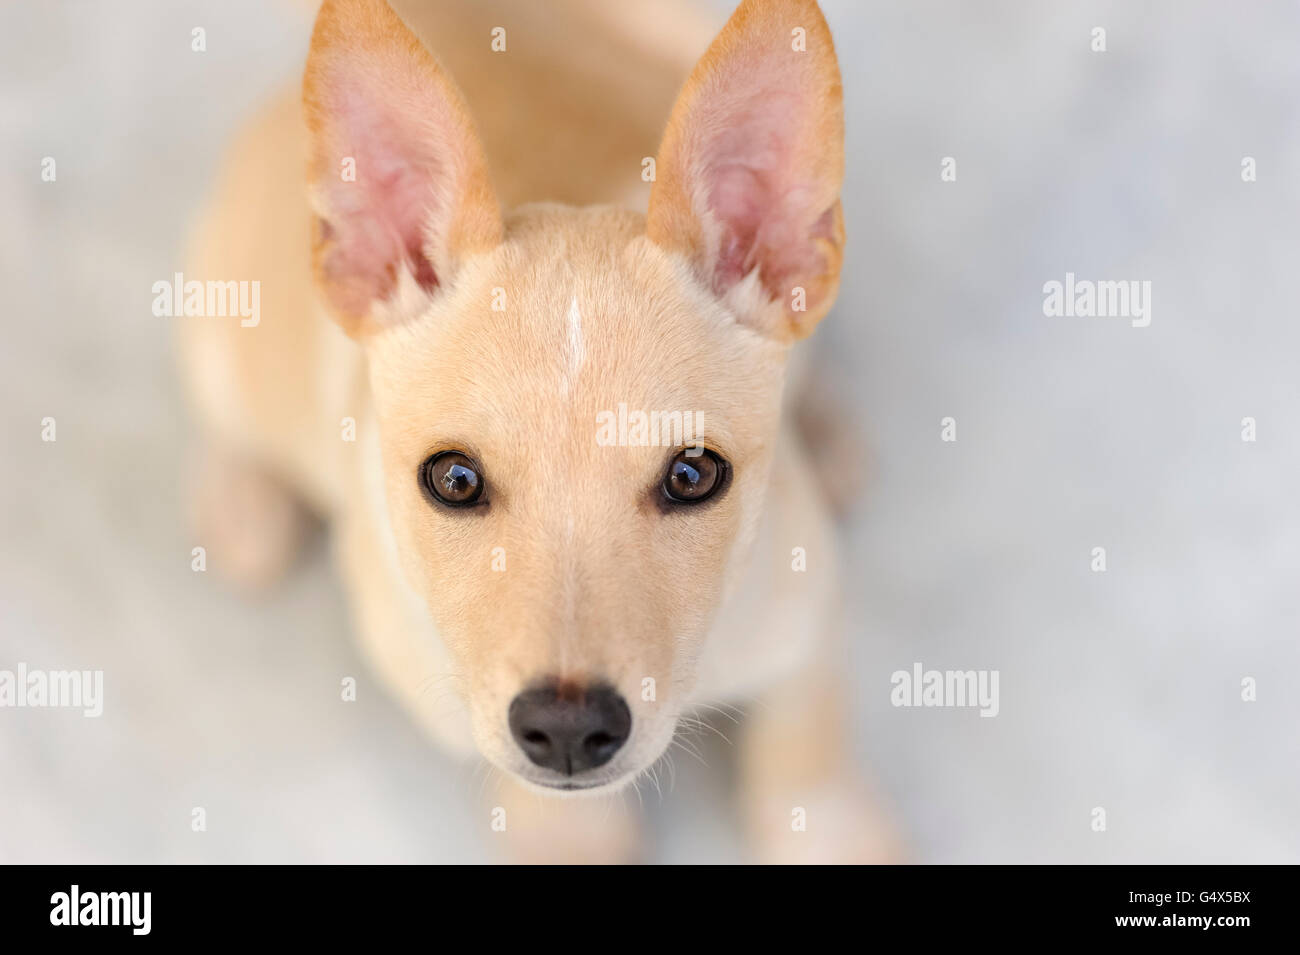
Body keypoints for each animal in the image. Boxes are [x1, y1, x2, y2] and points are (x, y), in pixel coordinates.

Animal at [180, 0, 894, 867]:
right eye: (454, 480)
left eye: (693, 475)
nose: (568, 729)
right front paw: (570, 832)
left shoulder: (807, 597)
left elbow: (806, 736)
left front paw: (833, 828)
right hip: (225, 320)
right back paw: (238, 500)